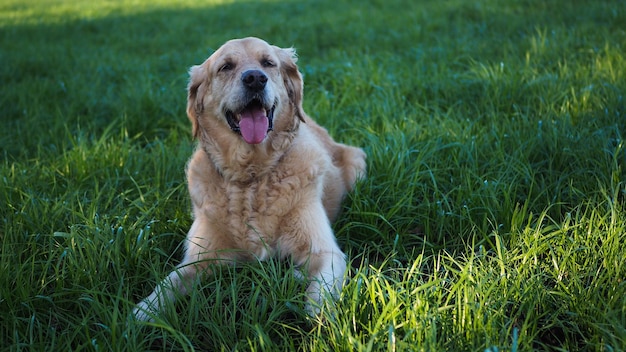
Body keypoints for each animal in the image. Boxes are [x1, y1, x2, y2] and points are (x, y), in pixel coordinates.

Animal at [133, 36, 366, 322]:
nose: (255, 79)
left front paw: (321, 320)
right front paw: (142, 313)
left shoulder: (325, 252)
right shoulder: (200, 257)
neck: (251, 177)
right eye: (226, 66)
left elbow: (319, 295)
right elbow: (169, 283)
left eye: (268, 63)